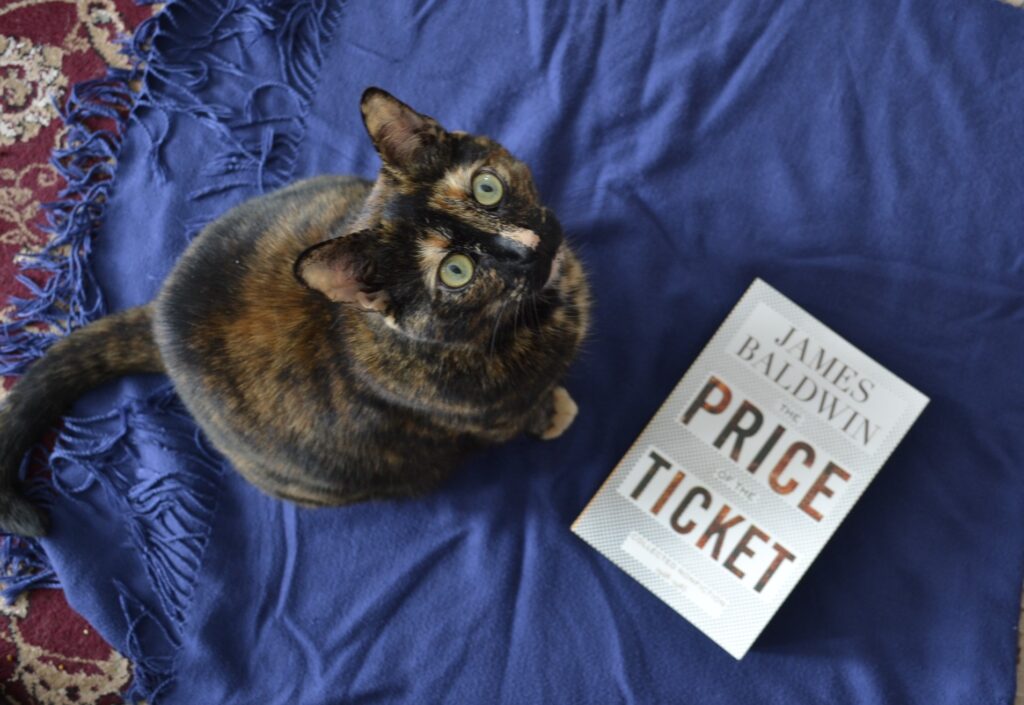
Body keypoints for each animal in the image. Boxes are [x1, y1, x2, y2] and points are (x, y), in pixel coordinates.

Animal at [0, 90, 593, 536]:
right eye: (456, 271)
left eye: (487, 188)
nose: (530, 248)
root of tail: (160, 317)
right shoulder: (491, 418)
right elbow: (525, 413)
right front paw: (554, 412)